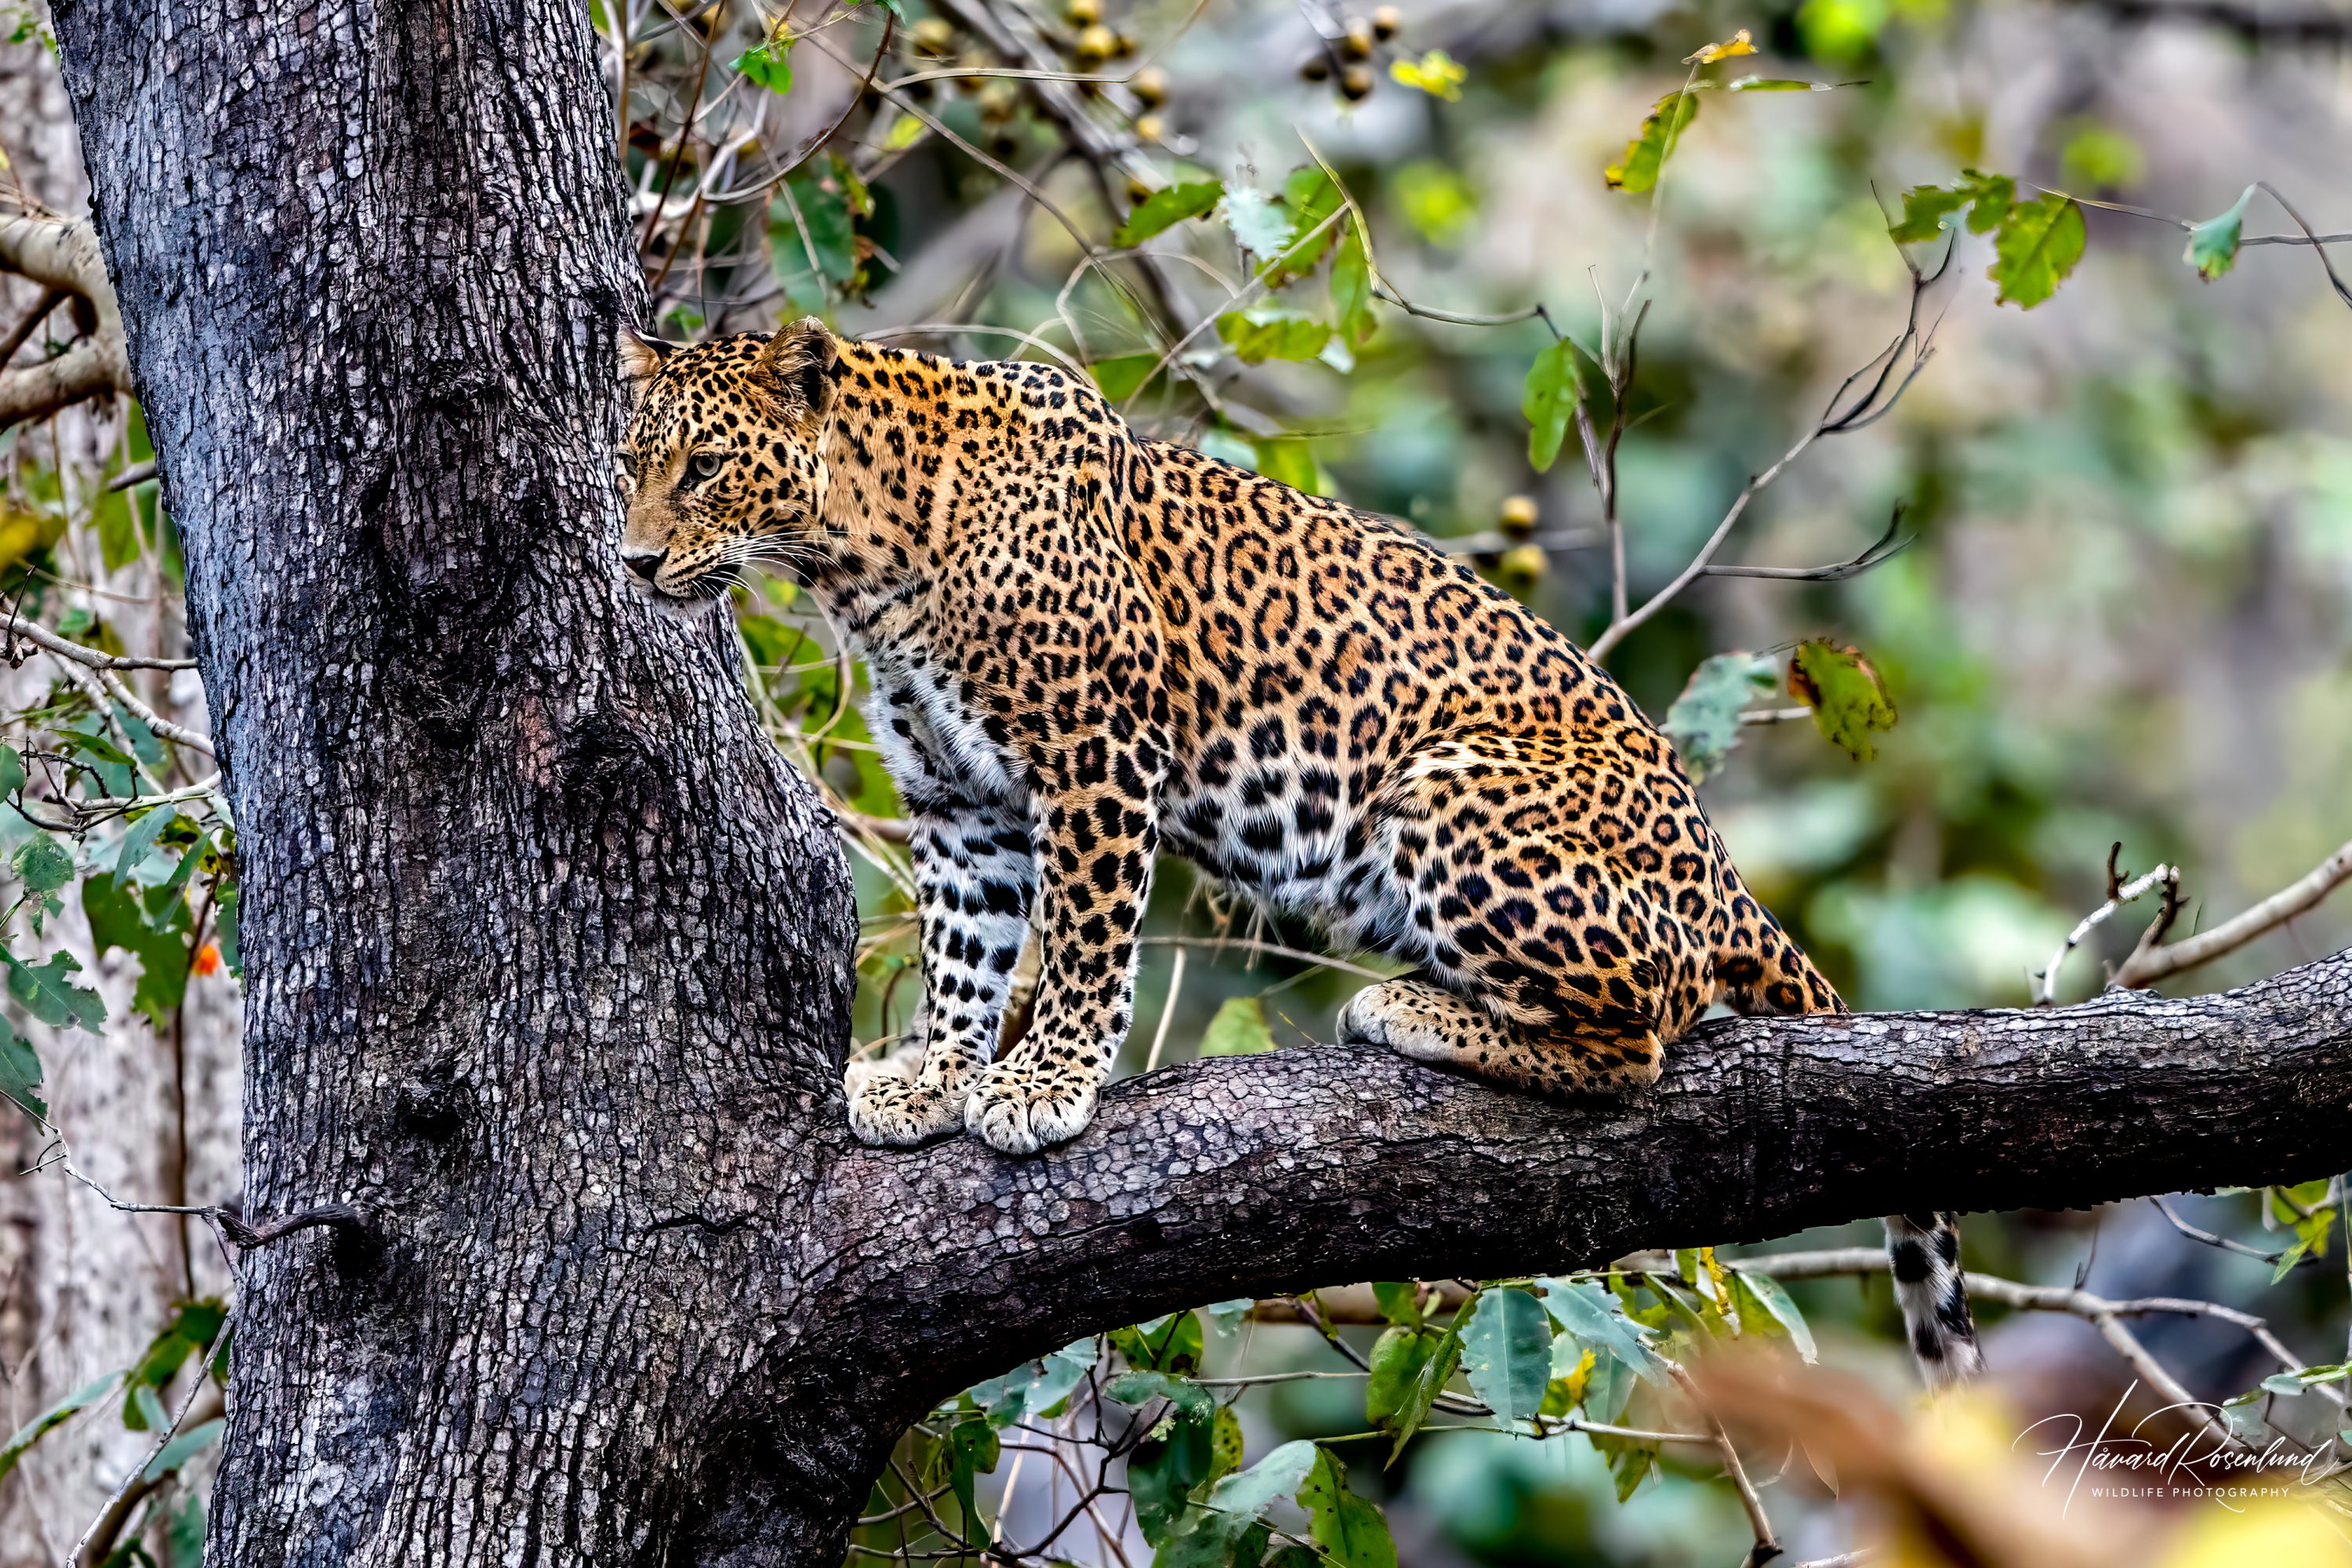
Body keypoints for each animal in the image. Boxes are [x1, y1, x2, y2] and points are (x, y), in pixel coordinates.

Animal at [615, 319, 1983, 1388]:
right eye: (631, 465)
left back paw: (1412, 1013)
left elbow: (1083, 942)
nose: (630, 559)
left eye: (706, 467)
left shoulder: (1098, 756)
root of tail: (1726, 869)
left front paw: (1045, 1087)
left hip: (1446, 795)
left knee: (1642, 1032)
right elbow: (969, 945)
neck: (862, 557)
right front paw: (934, 1075)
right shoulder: (962, 799)